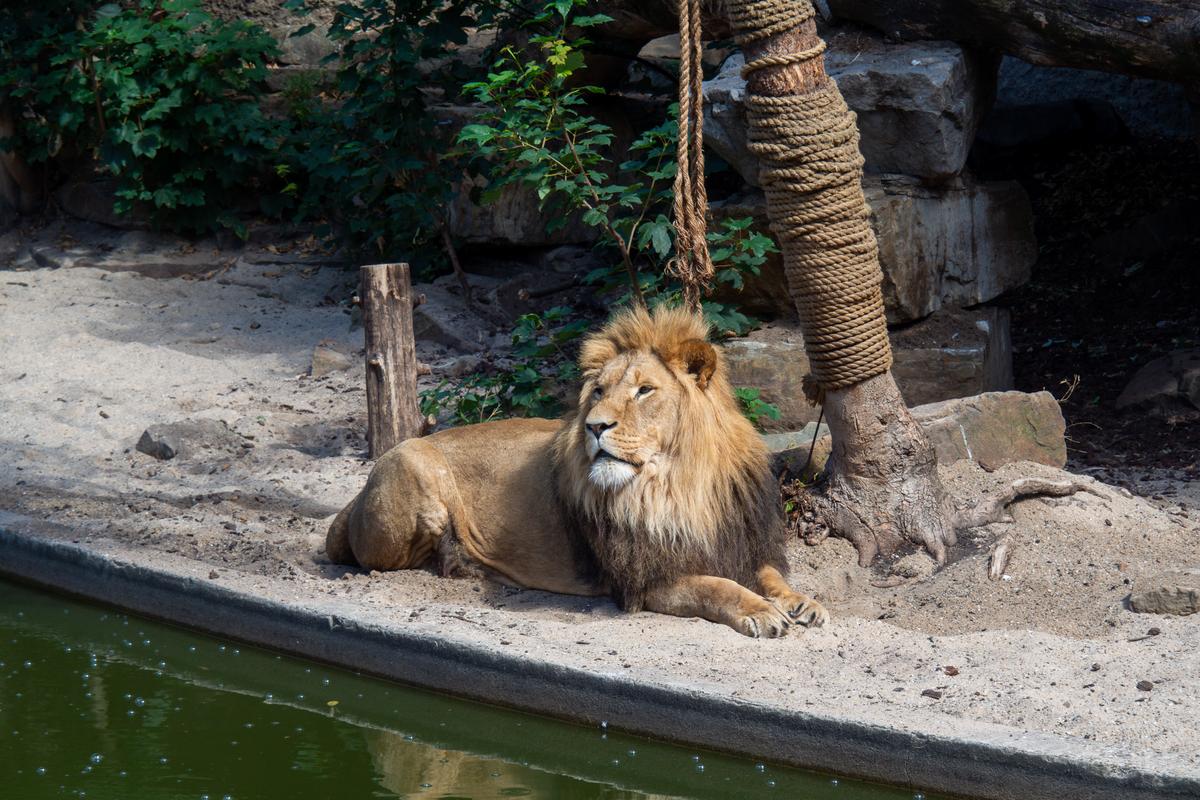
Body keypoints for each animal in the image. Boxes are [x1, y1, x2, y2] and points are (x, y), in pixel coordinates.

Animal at [325, 306, 827, 637]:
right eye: (599, 391)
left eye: (645, 391)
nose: (595, 426)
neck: (678, 484)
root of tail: (353, 500)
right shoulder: (642, 581)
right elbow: (717, 587)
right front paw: (761, 611)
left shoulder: (738, 541)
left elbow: (770, 574)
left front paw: (802, 601)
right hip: (413, 464)